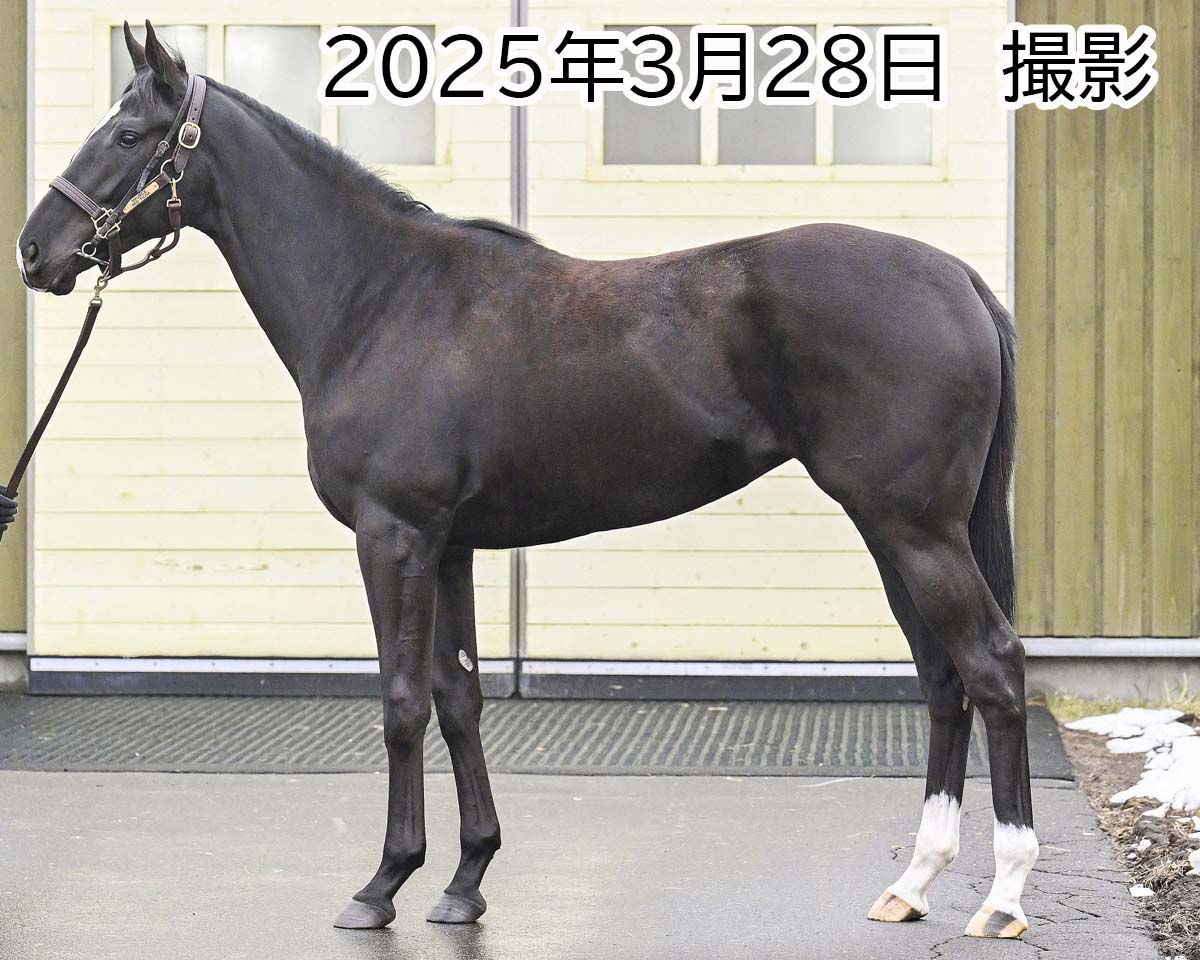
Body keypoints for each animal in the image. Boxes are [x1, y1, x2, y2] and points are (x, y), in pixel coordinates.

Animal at [15, 21, 1037, 941]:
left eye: (127, 135)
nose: (34, 251)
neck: (379, 298)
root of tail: (958, 279)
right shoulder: (451, 547)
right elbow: (460, 701)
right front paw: (464, 880)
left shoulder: (394, 537)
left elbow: (401, 703)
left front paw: (381, 885)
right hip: (892, 531)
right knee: (942, 678)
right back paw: (913, 883)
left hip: (913, 528)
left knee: (990, 664)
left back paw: (1002, 896)